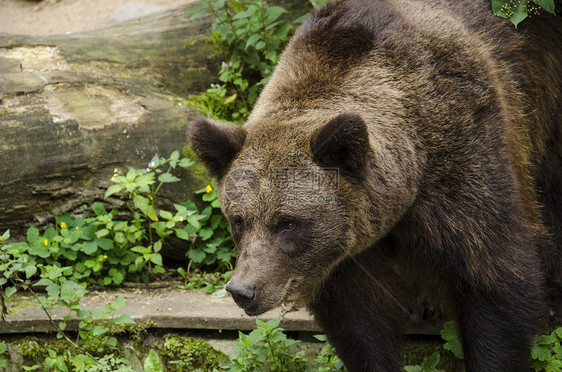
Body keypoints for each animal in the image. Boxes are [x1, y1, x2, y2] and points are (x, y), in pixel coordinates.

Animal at [189, 1, 560, 370]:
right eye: (239, 221)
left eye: (288, 223)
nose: (242, 290)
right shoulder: (347, 252)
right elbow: (359, 322)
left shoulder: (465, 156)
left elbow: (494, 277)